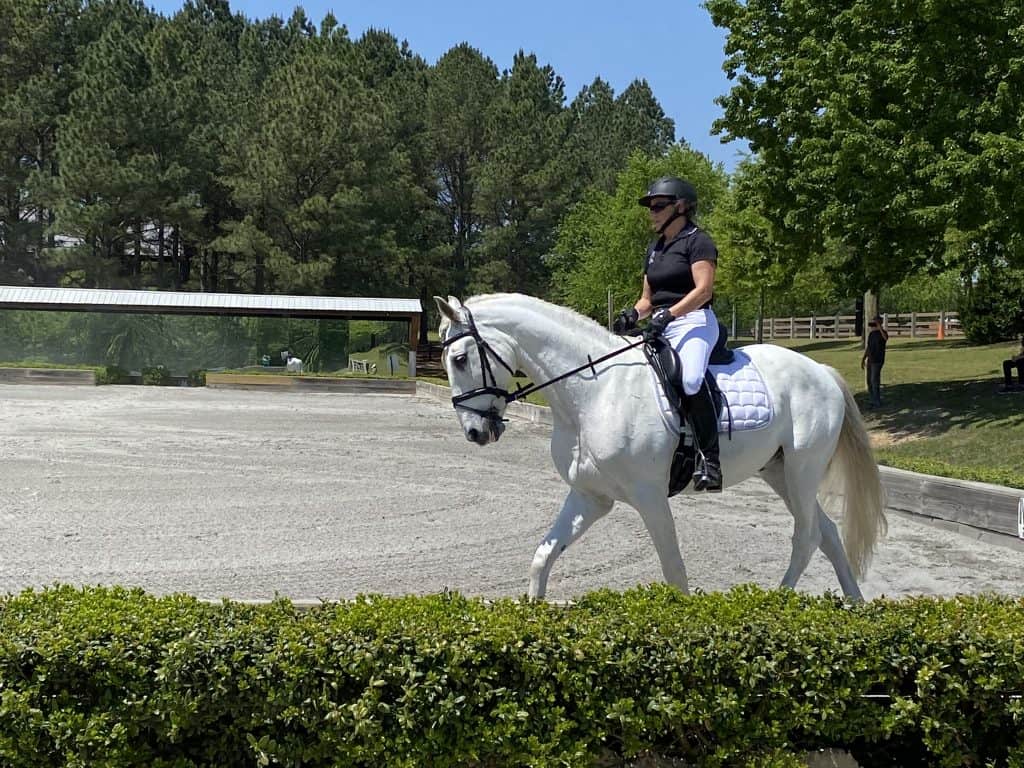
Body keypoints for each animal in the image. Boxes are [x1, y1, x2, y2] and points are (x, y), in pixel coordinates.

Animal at [435, 293, 887, 601]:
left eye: (459, 359)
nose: (475, 432)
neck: (594, 391)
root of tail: (822, 371)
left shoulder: (650, 498)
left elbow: (674, 570)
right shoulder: (590, 496)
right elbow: (542, 556)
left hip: (801, 470)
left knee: (807, 536)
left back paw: (778, 599)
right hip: (778, 472)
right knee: (826, 533)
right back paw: (855, 605)